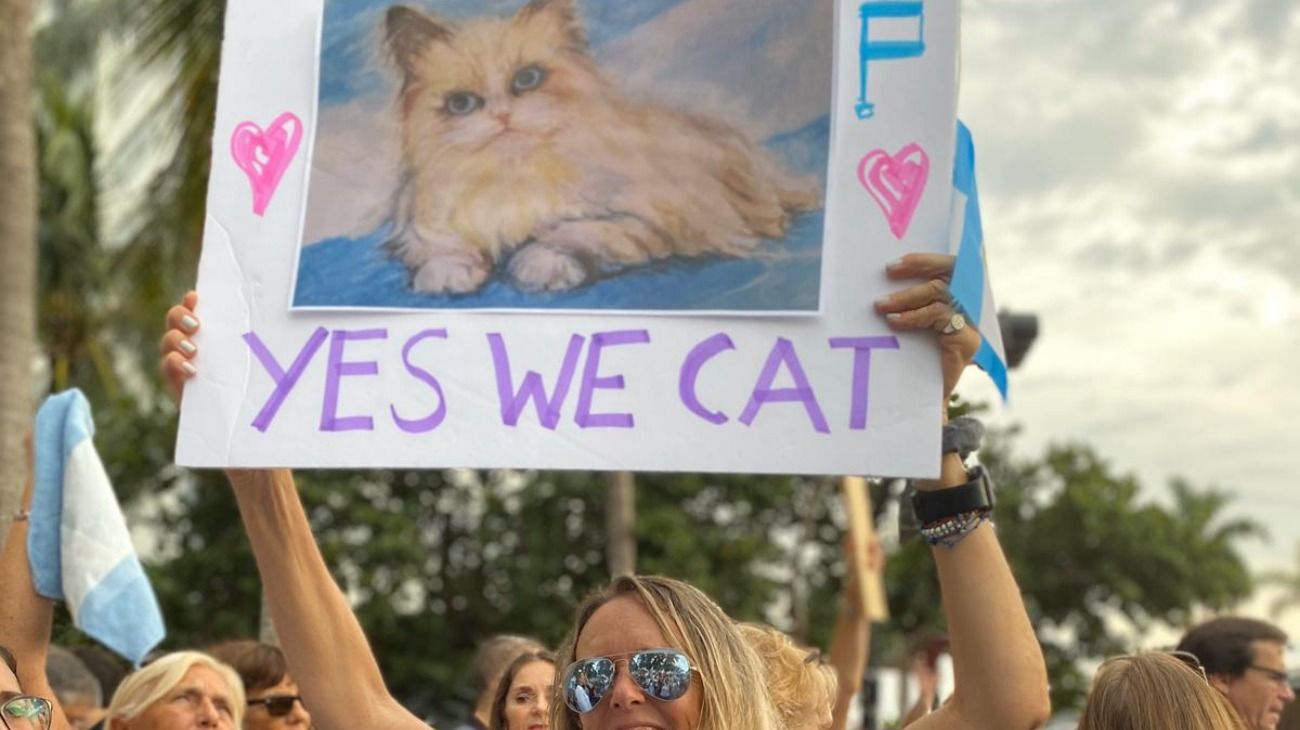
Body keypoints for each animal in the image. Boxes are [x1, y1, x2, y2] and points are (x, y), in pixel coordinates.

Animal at [379, 1, 816, 296]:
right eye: (462, 104)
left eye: (527, 79)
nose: (503, 116)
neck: (518, 177)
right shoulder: (425, 223)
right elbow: (442, 247)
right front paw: (447, 275)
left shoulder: (650, 219)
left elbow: (573, 232)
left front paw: (537, 265)